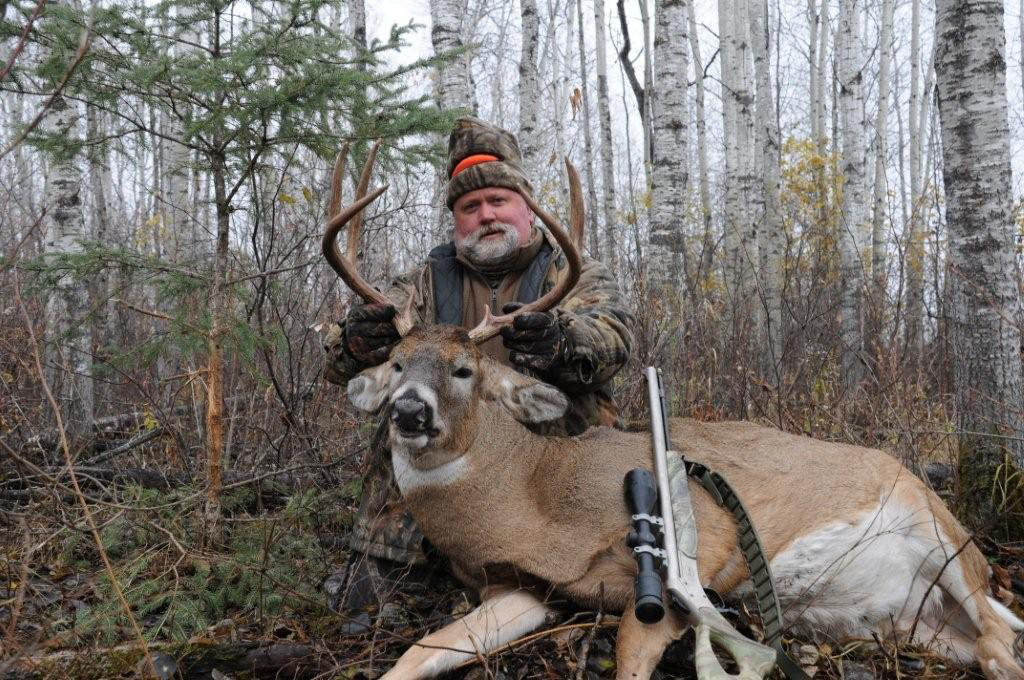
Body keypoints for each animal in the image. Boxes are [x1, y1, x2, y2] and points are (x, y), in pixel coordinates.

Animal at [322, 149, 1024, 680]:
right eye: (397, 364)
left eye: (464, 370)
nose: (409, 412)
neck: (534, 497)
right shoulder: (524, 591)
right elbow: (415, 656)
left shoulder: (704, 546)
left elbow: (633, 655)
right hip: (915, 622)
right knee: (987, 643)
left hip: (937, 529)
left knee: (998, 638)